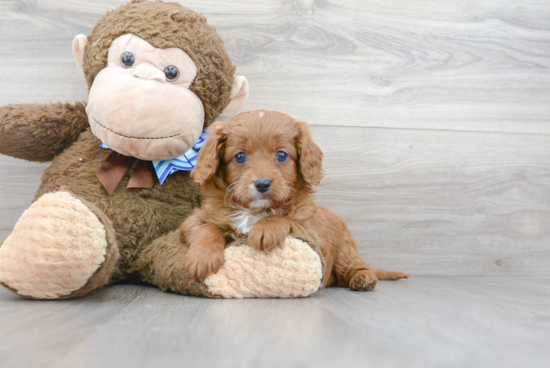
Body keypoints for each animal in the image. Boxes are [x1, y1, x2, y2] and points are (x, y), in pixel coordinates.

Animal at [181, 109, 410, 290]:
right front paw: (202, 258)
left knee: (354, 266)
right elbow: (208, 228)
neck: (254, 211)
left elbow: (286, 218)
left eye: (282, 155)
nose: (262, 184)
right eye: (239, 156)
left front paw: (266, 228)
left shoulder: (310, 232)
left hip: (345, 249)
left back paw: (364, 278)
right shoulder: (195, 218)